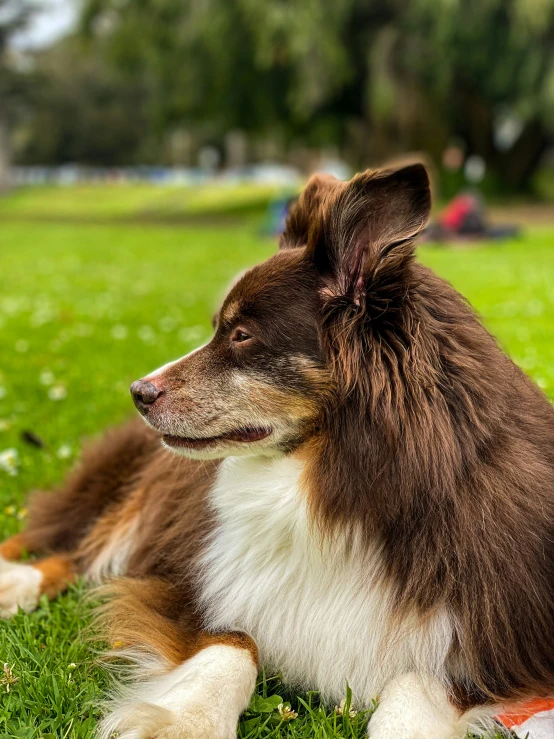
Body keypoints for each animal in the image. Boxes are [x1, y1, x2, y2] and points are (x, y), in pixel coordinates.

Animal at [1, 163, 552, 739]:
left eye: (242, 335)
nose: (138, 392)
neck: (334, 491)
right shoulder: (189, 580)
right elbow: (235, 640)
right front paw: (189, 721)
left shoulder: (498, 647)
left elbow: (415, 685)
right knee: (69, 545)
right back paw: (12, 584)